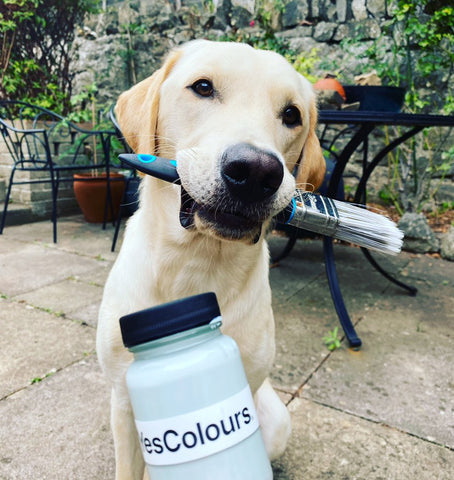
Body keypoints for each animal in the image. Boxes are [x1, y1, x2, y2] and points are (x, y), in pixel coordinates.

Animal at [97, 40, 324, 480]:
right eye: (202, 87)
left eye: (292, 115)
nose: (256, 172)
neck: (196, 263)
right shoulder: (122, 397)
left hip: (277, 421)